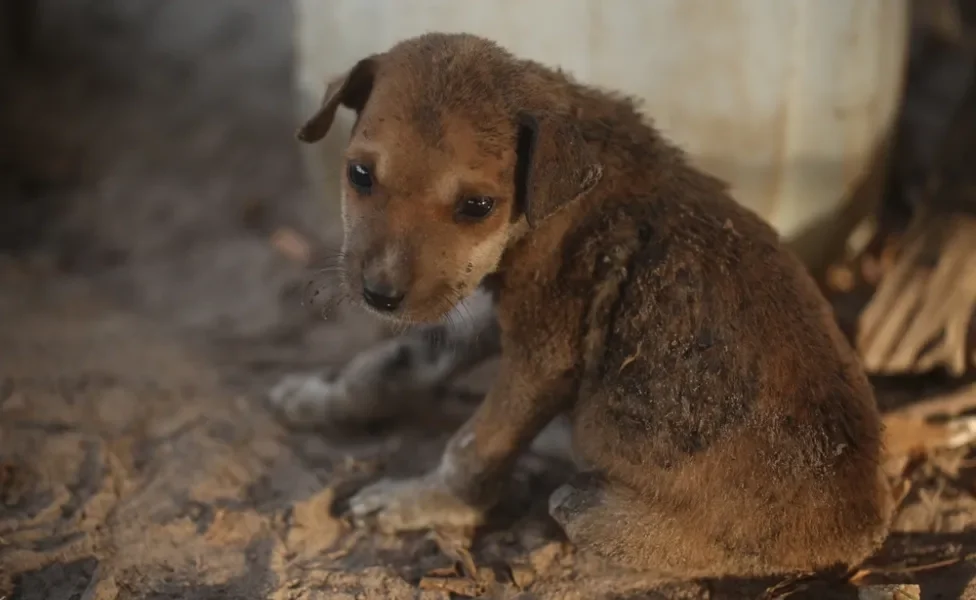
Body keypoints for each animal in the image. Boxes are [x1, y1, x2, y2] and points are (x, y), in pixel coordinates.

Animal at [284, 34, 892, 580]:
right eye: (360, 175)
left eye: (476, 206)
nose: (379, 295)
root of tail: (861, 528)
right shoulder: (485, 308)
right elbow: (396, 362)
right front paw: (317, 397)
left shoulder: (543, 355)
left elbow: (475, 444)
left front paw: (421, 501)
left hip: (586, 506)